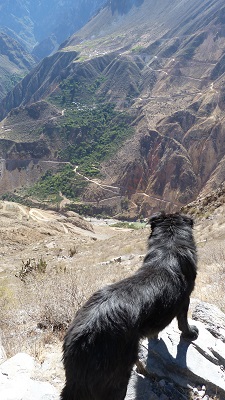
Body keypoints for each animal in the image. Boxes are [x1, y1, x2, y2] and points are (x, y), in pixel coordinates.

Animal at [60, 211, 198, 398]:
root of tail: (81, 337)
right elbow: (183, 322)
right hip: (117, 375)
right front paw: (190, 333)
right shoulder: (185, 300)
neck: (168, 246)